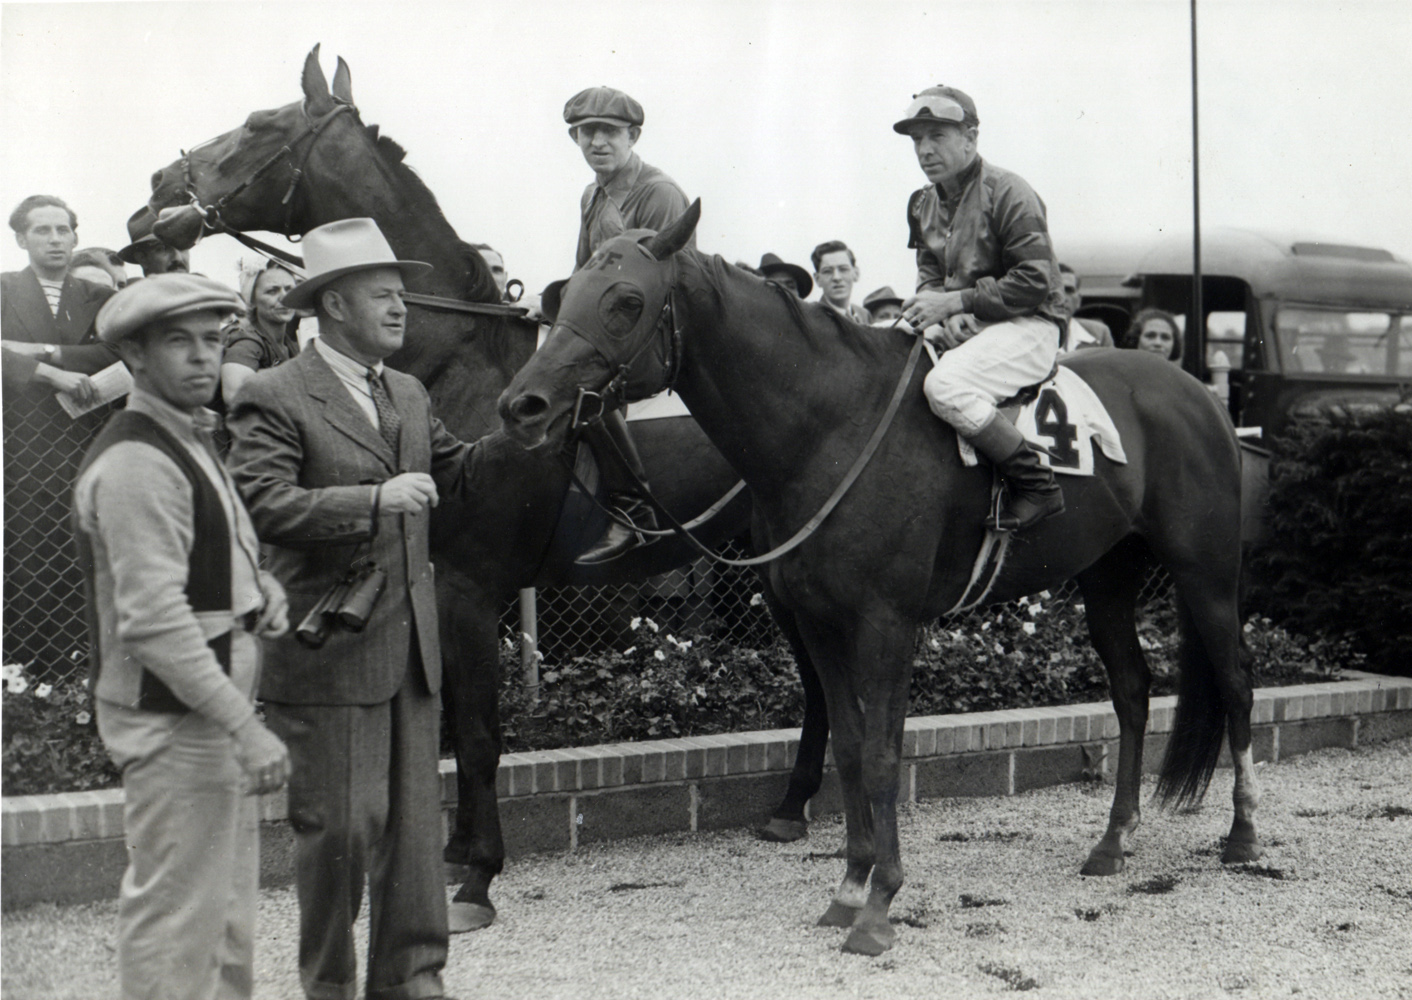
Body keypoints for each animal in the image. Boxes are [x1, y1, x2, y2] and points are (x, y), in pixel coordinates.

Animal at [144, 50, 756, 932]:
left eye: (260, 125)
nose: (157, 191)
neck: (452, 362)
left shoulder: (469, 590)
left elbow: (475, 733)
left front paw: (478, 875)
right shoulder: (432, 587)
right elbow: (450, 724)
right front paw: (459, 851)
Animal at [497, 200, 1259, 954]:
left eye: (626, 300)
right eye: (568, 292)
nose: (522, 405)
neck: (832, 427)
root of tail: (1198, 393)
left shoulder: (887, 623)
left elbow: (885, 754)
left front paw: (880, 903)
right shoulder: (819, 621)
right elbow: (850, 745)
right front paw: (848, 887)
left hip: (1207, 573)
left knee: (1235, 684)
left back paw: (1243, 833)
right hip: (1106, 576)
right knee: (1131, 691)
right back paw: (1113, 840)